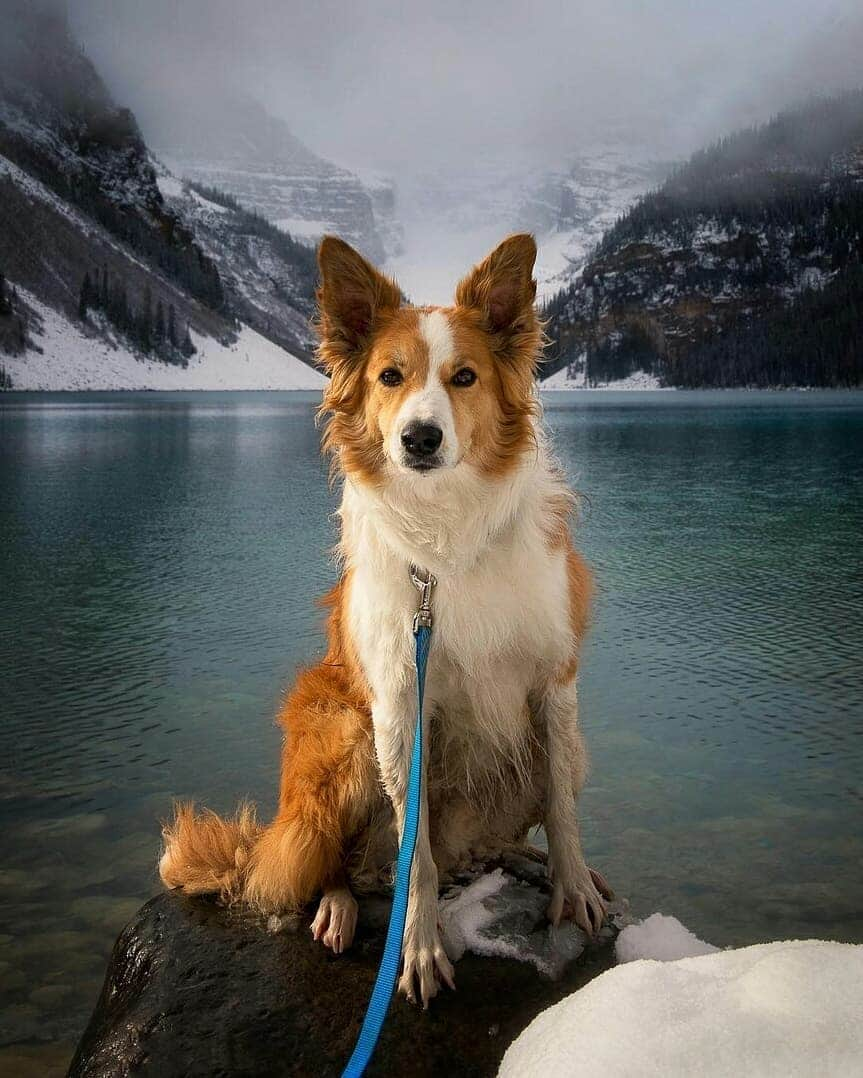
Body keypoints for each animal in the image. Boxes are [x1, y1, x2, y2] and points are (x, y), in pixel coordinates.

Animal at [158, 229, 607, 1009]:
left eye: (464, 378)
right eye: (390, 377)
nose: (419, 439)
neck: (447, 536)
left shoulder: (555, 680)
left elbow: (560, 806)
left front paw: (572, 885)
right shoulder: (398, 702)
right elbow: (413, 852)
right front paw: (419, 945)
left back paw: (510, 857)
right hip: (343, 732)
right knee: (327, 865)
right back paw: (338, 906)